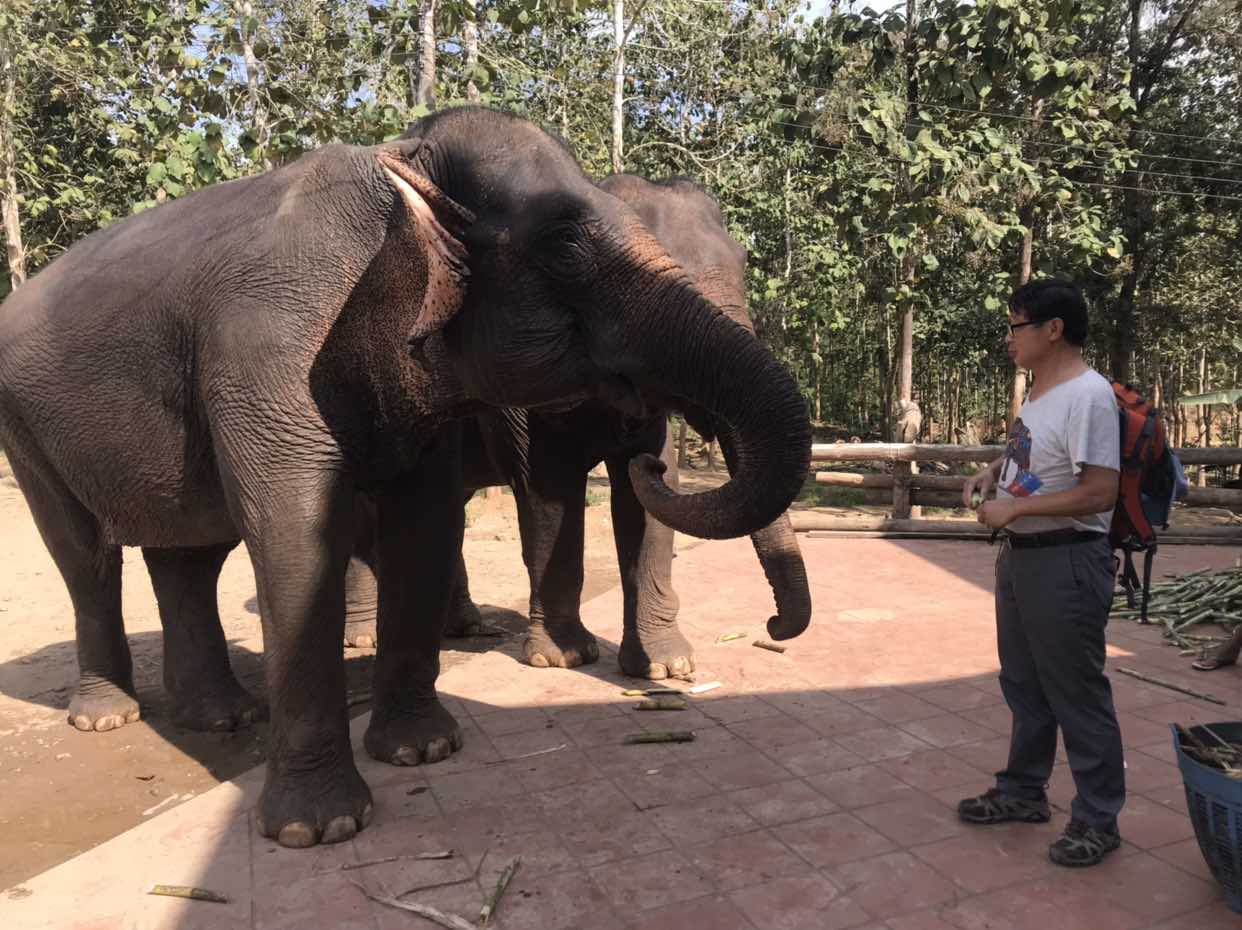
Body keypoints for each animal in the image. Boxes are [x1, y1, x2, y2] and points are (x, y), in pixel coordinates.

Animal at [341, 174, 813, 680]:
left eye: (742, 264)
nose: (772, 626)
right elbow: (550, 488)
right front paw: (560, 658)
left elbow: (647, 504)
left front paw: (666, 667)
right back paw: (365, 636)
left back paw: (466, 627)